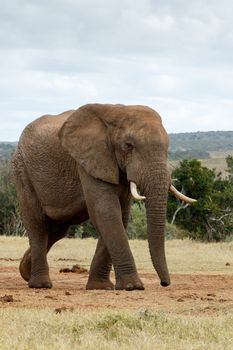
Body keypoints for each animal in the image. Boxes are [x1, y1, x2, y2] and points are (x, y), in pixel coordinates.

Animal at [11, 103, 196, 290]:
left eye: (167, 148)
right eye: (128, 145)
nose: (164, 283)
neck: (116, 112)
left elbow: (120, 215)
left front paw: (101, 287)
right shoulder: (89, 160)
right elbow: (106, 211)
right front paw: (133, 286)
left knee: (57, 229)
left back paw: (25, 271)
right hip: (22, 170)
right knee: (38, 224)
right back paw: (40, 284)